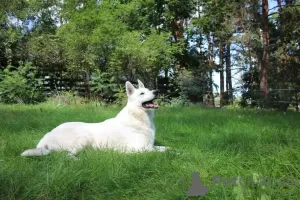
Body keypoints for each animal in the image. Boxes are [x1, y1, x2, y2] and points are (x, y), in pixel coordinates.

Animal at [21, 79, 169, 157]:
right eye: (142, 93)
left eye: (150, 90)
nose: (156, 91)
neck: (138, 117)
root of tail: (46, 137)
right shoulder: (138, 149)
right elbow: (159, 151)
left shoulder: (150, 145)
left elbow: (165, 148)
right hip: (84, 137)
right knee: (68, 156)